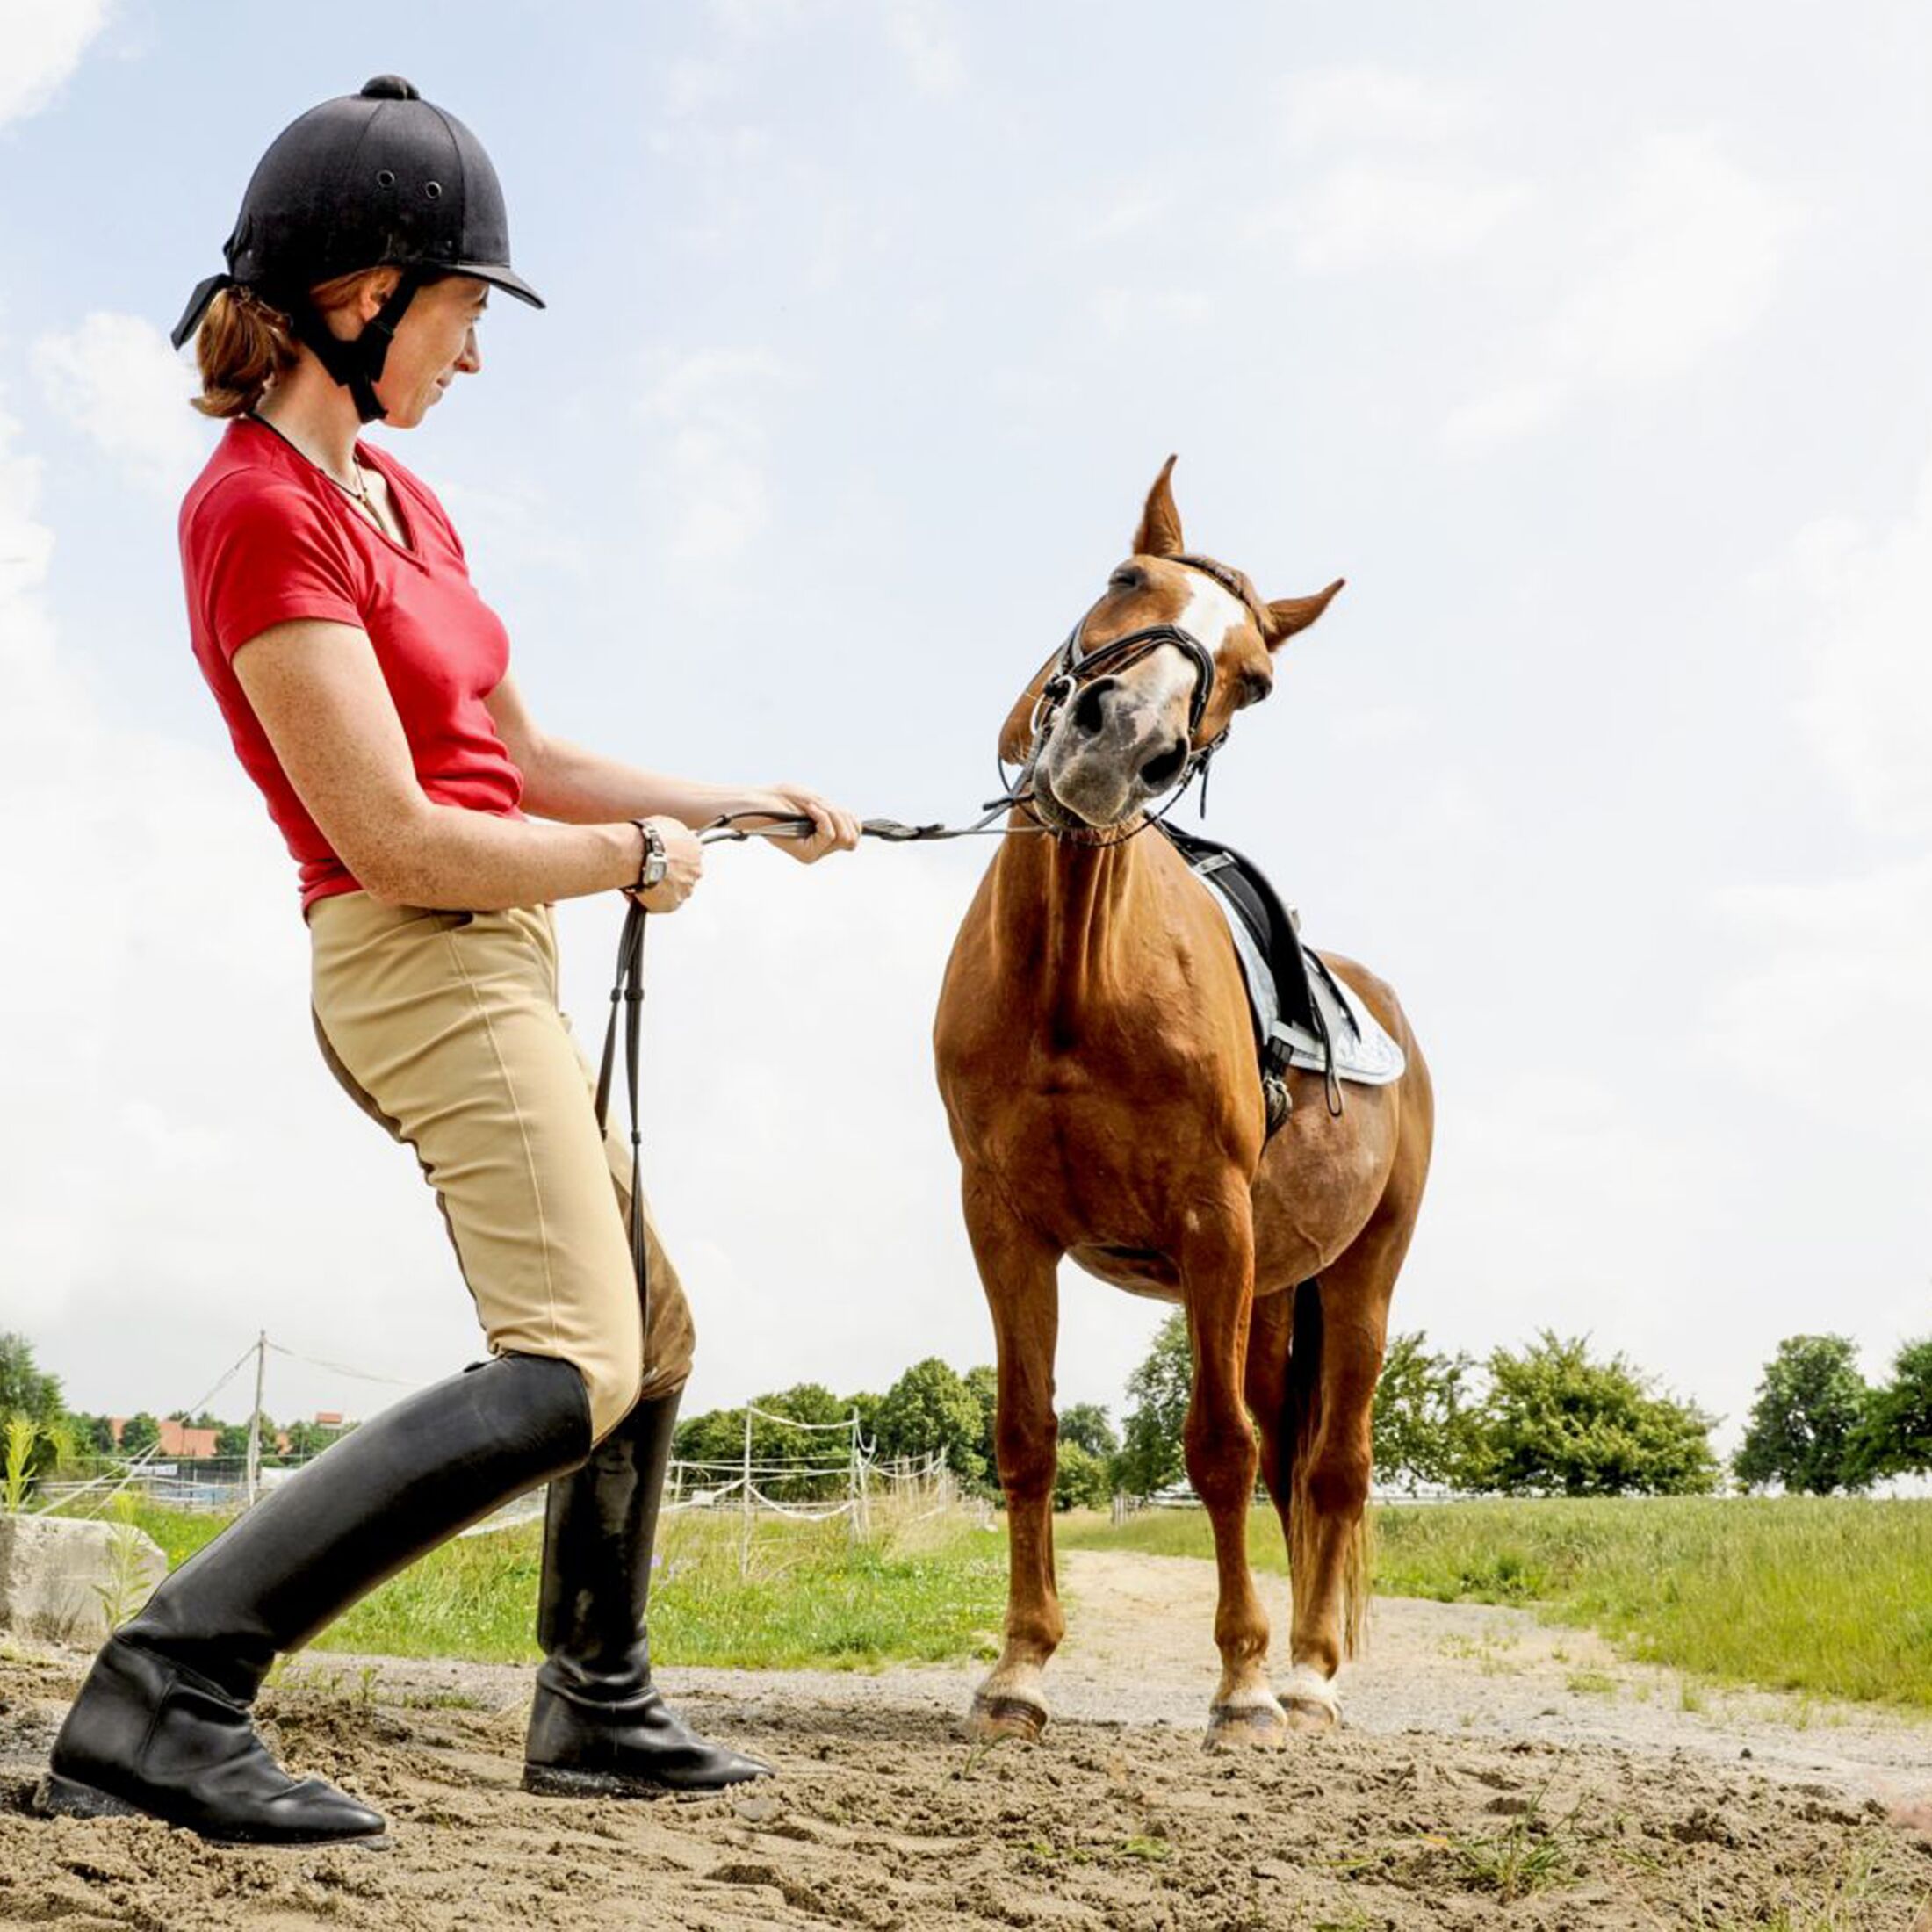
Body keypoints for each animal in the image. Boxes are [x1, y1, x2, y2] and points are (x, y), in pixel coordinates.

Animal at [927, 459, 1445, 1746]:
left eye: (1256, 680)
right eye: (1123, 578)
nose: (1124, 743)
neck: (1075, 976)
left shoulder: (1211, 1223)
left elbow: (1215, 1448)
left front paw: (1244, 1685)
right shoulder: (1003, 1225)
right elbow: (1026, 1436)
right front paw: (1019, 1669)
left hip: (1358, 1279)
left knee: (1331, 1468)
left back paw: (1307, 1674)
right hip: (1268, 1298)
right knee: (1290, 1465)